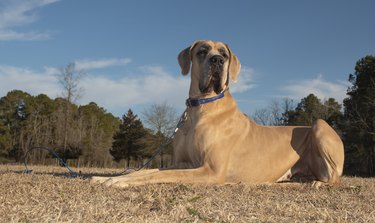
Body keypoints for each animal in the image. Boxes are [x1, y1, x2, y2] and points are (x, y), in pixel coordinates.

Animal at [92, 41, 346, 187]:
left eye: (224, 53)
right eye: (202, 51)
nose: (217, 60)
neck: (200, 108)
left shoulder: (211, 170)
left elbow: (155, 175)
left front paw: (117, 182)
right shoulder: (181, 163)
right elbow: (148, 170)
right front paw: (108, 178)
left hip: (319, 125)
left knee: (333, 178)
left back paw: (317, 184)